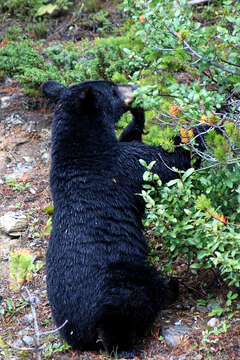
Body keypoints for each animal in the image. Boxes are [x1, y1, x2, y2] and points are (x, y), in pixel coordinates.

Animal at [42, 79, 207, 358]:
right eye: (112, 88)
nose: (133, 87)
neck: (79, 149)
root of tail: (87, 331)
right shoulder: (121, 167)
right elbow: (163, 163)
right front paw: (203, 128)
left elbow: (132, 138)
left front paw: (139, 116)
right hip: (125, 283)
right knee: (140, 302)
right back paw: (169, 291)